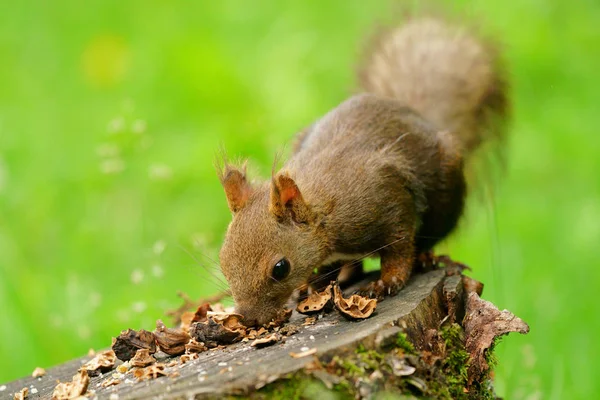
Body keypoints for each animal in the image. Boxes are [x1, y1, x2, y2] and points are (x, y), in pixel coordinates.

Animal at [216, 16, 506, 328]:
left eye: (281, 268)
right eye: (223, 260)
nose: (248, 319)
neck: (324, 213)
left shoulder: (387, 199)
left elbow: (399, 247)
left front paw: (387, 282)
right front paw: (313, 285)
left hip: (446, 190)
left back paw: (425, 257)